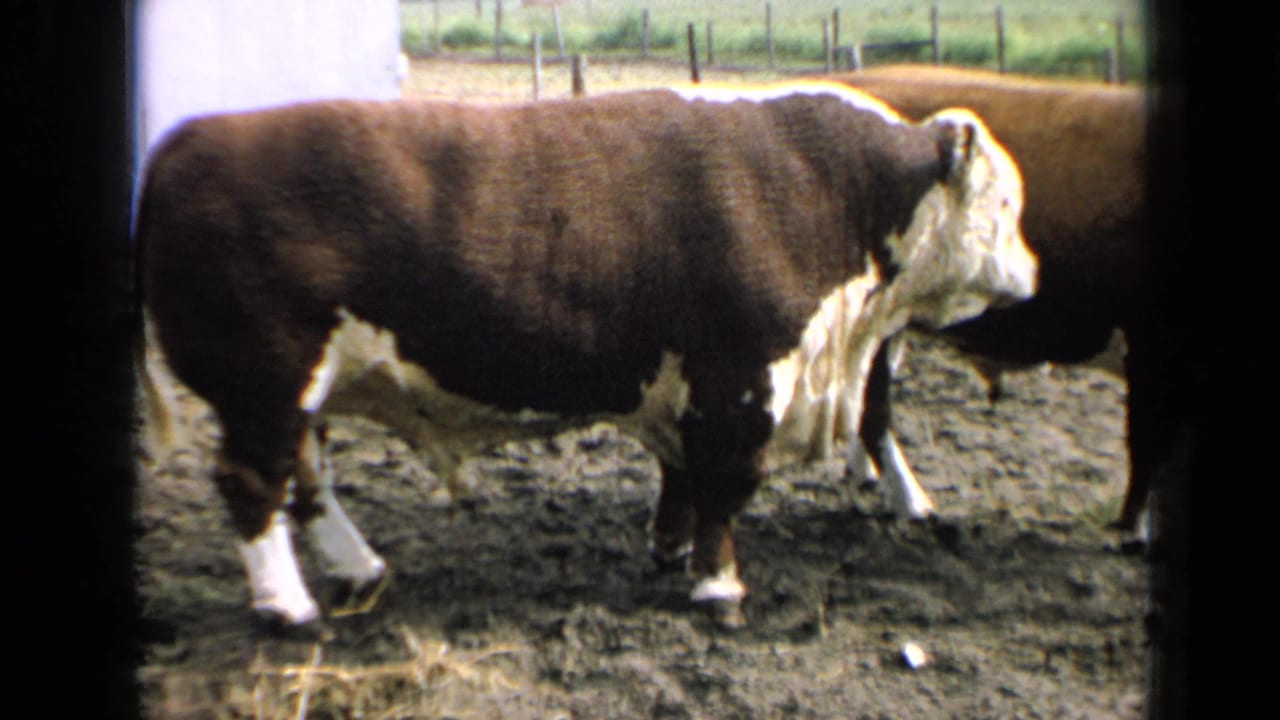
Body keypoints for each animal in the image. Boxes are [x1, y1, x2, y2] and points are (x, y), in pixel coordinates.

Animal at [135, 80, 1036, 634]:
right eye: (1003, 204)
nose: (1032, 274)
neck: (826, 187)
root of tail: (190, 139)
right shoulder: (742, 383)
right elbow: (724, 491)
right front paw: (718, 587)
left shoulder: (686, 388)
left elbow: (681, 480)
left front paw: (670, 551)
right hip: (264, 384)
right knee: (253, 484)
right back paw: (287, 607)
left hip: (300, 393)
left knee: (307, 478)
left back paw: (360, 569)